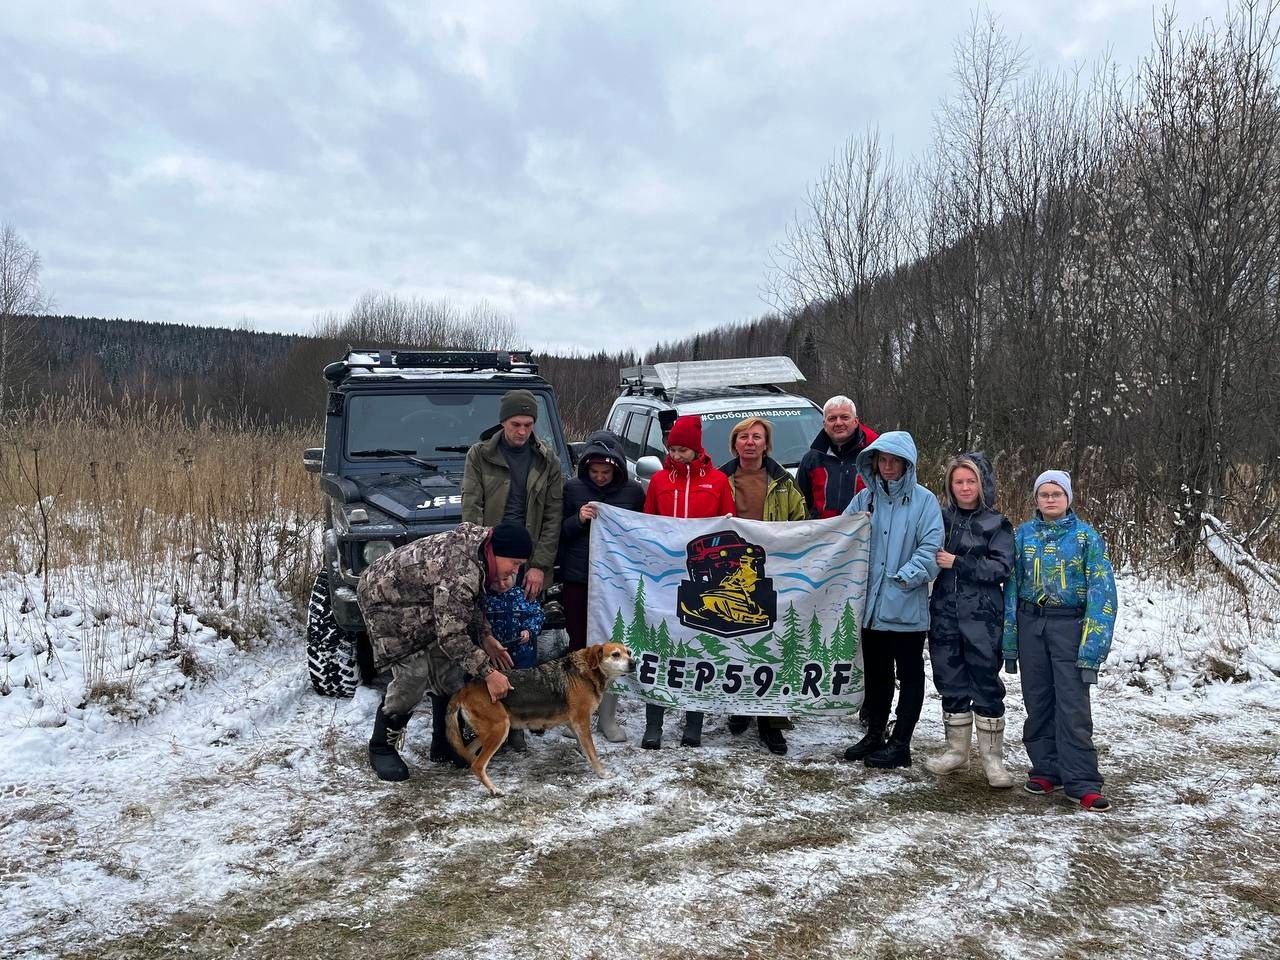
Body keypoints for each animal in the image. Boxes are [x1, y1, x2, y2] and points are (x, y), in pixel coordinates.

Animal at [445, 647, 634, 798]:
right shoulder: (582, 722)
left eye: (629, 652)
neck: (584, 671)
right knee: (478, 765)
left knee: (469, 755)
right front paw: (602, 773)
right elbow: (593, 752)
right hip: (500, 730)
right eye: (616, 654)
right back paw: (494, 789)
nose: (634, 663)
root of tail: (464, 689)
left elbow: (584, 747)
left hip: (490, 732)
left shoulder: (574, 724)